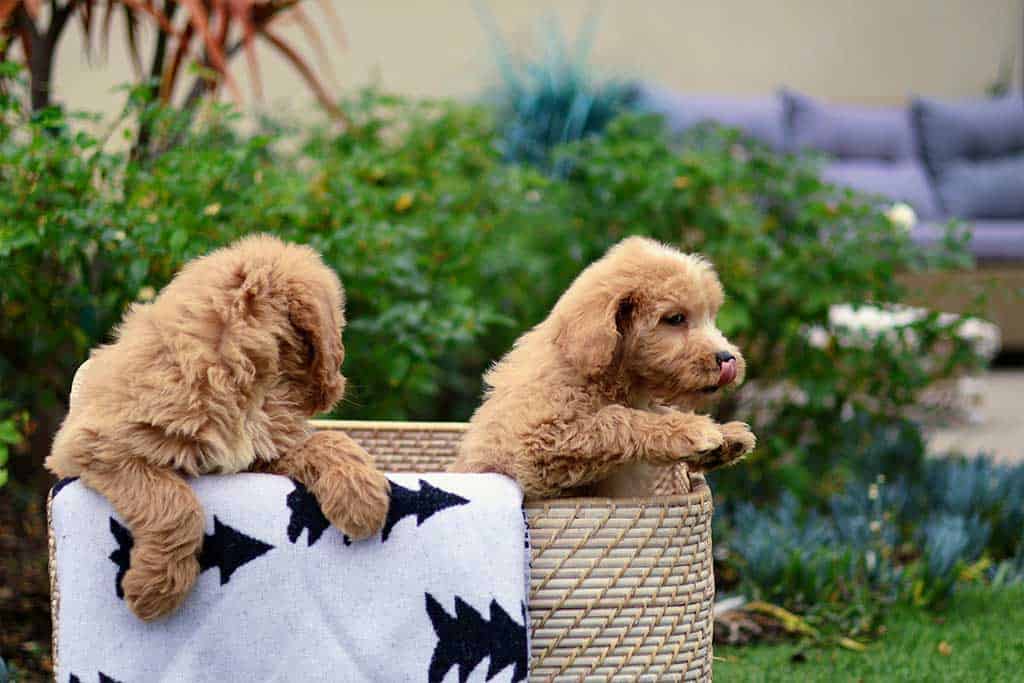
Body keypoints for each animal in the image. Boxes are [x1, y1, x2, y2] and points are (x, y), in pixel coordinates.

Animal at [44, 235, 389, 618]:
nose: (337, 388)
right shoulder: (95, 444)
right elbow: (173, 501)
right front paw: (157, 588)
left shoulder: (257, 458)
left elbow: (323, 441)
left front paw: (362, 497)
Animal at [452, 237, 757, 499]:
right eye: (676, 319)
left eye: (711, 317)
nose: (728, 359)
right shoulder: (538, 446)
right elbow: (615, 419)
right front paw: (692, 430)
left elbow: (654, 411)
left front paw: (726, 436)